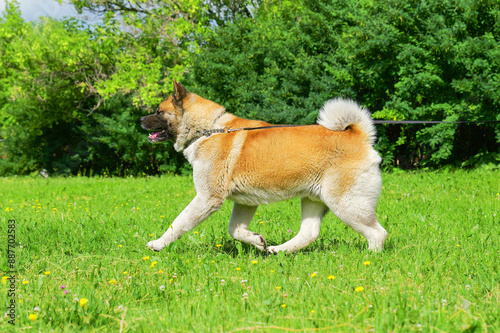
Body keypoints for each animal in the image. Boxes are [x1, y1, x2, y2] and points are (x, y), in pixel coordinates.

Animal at [141, 80, 386, 252]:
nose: (140, 120)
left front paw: (158, 244)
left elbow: (178, 223)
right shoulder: (244, 202)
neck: (208, 130)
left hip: (346, 202)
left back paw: (370, 257)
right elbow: (235, 229)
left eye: (158, 111)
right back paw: (279, 251)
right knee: (309, 233)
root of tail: (357, 135)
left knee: (377, 233)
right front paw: (257, 241)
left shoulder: (207, 198)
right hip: (315, 199)